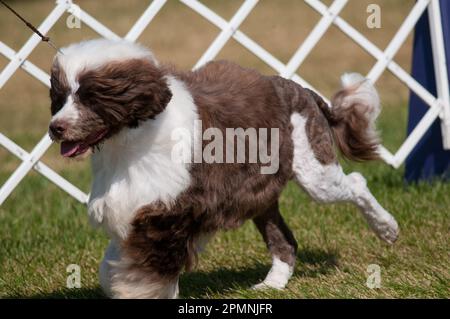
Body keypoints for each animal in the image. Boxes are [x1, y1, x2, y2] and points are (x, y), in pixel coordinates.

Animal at [47, 38, 400, 298]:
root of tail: (304, 91)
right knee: (284, 241)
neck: (128, 145)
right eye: (60, 97)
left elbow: (148, 277)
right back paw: (271, 284)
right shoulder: (132, 209)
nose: (55, 128)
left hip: (314, 169)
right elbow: (114, 269)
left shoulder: (167, 214)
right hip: (260, 191)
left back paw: (387, 229)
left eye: (92, 96)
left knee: (355, 183)